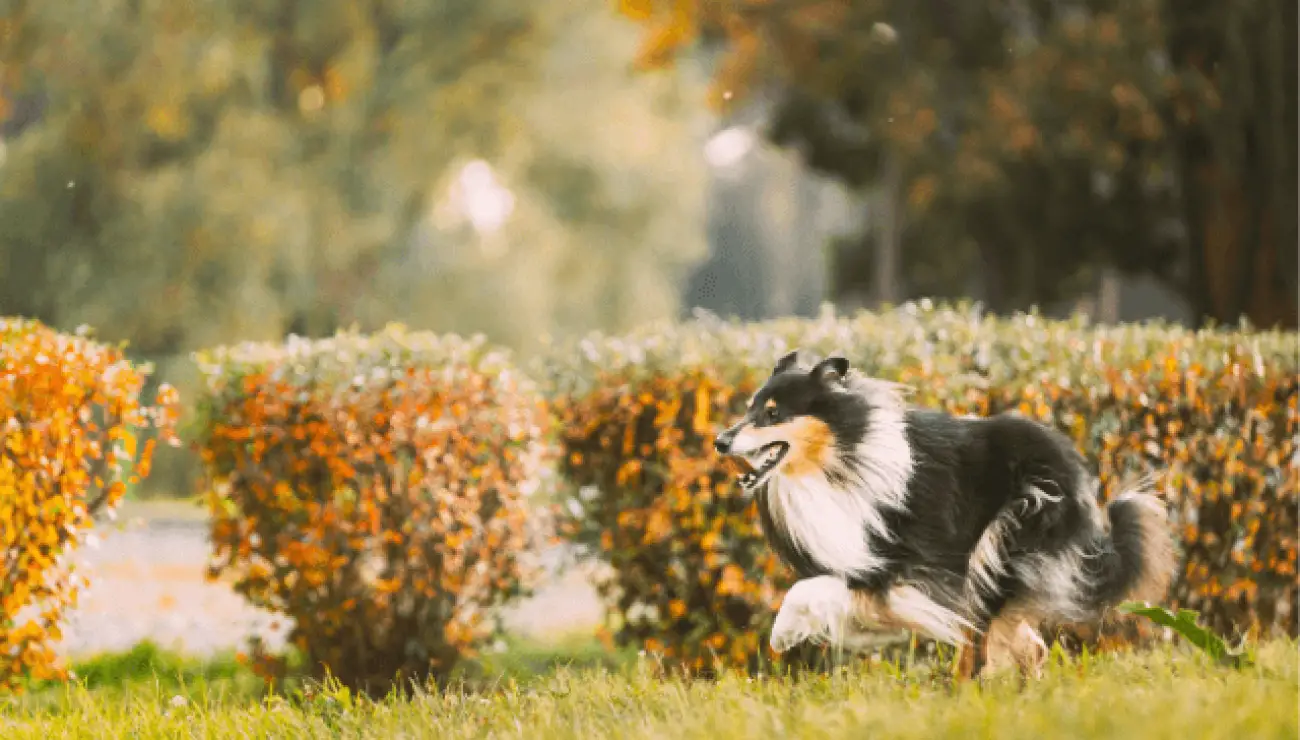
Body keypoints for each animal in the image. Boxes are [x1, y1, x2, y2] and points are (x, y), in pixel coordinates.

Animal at [712, 348, 1180, 676]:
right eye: (751, 408)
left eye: (773, 413)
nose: (720, 441)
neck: (840, 461)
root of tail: (1080, 478)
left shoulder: (910, 568)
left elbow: (809, 590)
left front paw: (783, 633)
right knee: (1030, 648)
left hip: (1004, 540)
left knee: (984, 646)